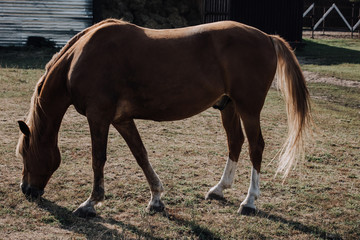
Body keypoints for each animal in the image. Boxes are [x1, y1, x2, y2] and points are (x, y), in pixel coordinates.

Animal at [16, 19, 310, 218]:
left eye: (23, 153)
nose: (26, 190)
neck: (80, 57)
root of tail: (267, 37)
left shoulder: (98, 116)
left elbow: (98, 159)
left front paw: (91, 203)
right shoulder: (121, 120)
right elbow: (141, 155)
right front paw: (156, 198)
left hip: (248, 107)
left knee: (255, 146)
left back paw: (249, 201)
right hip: (229, 107)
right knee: (235, 142)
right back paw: (219, 189)